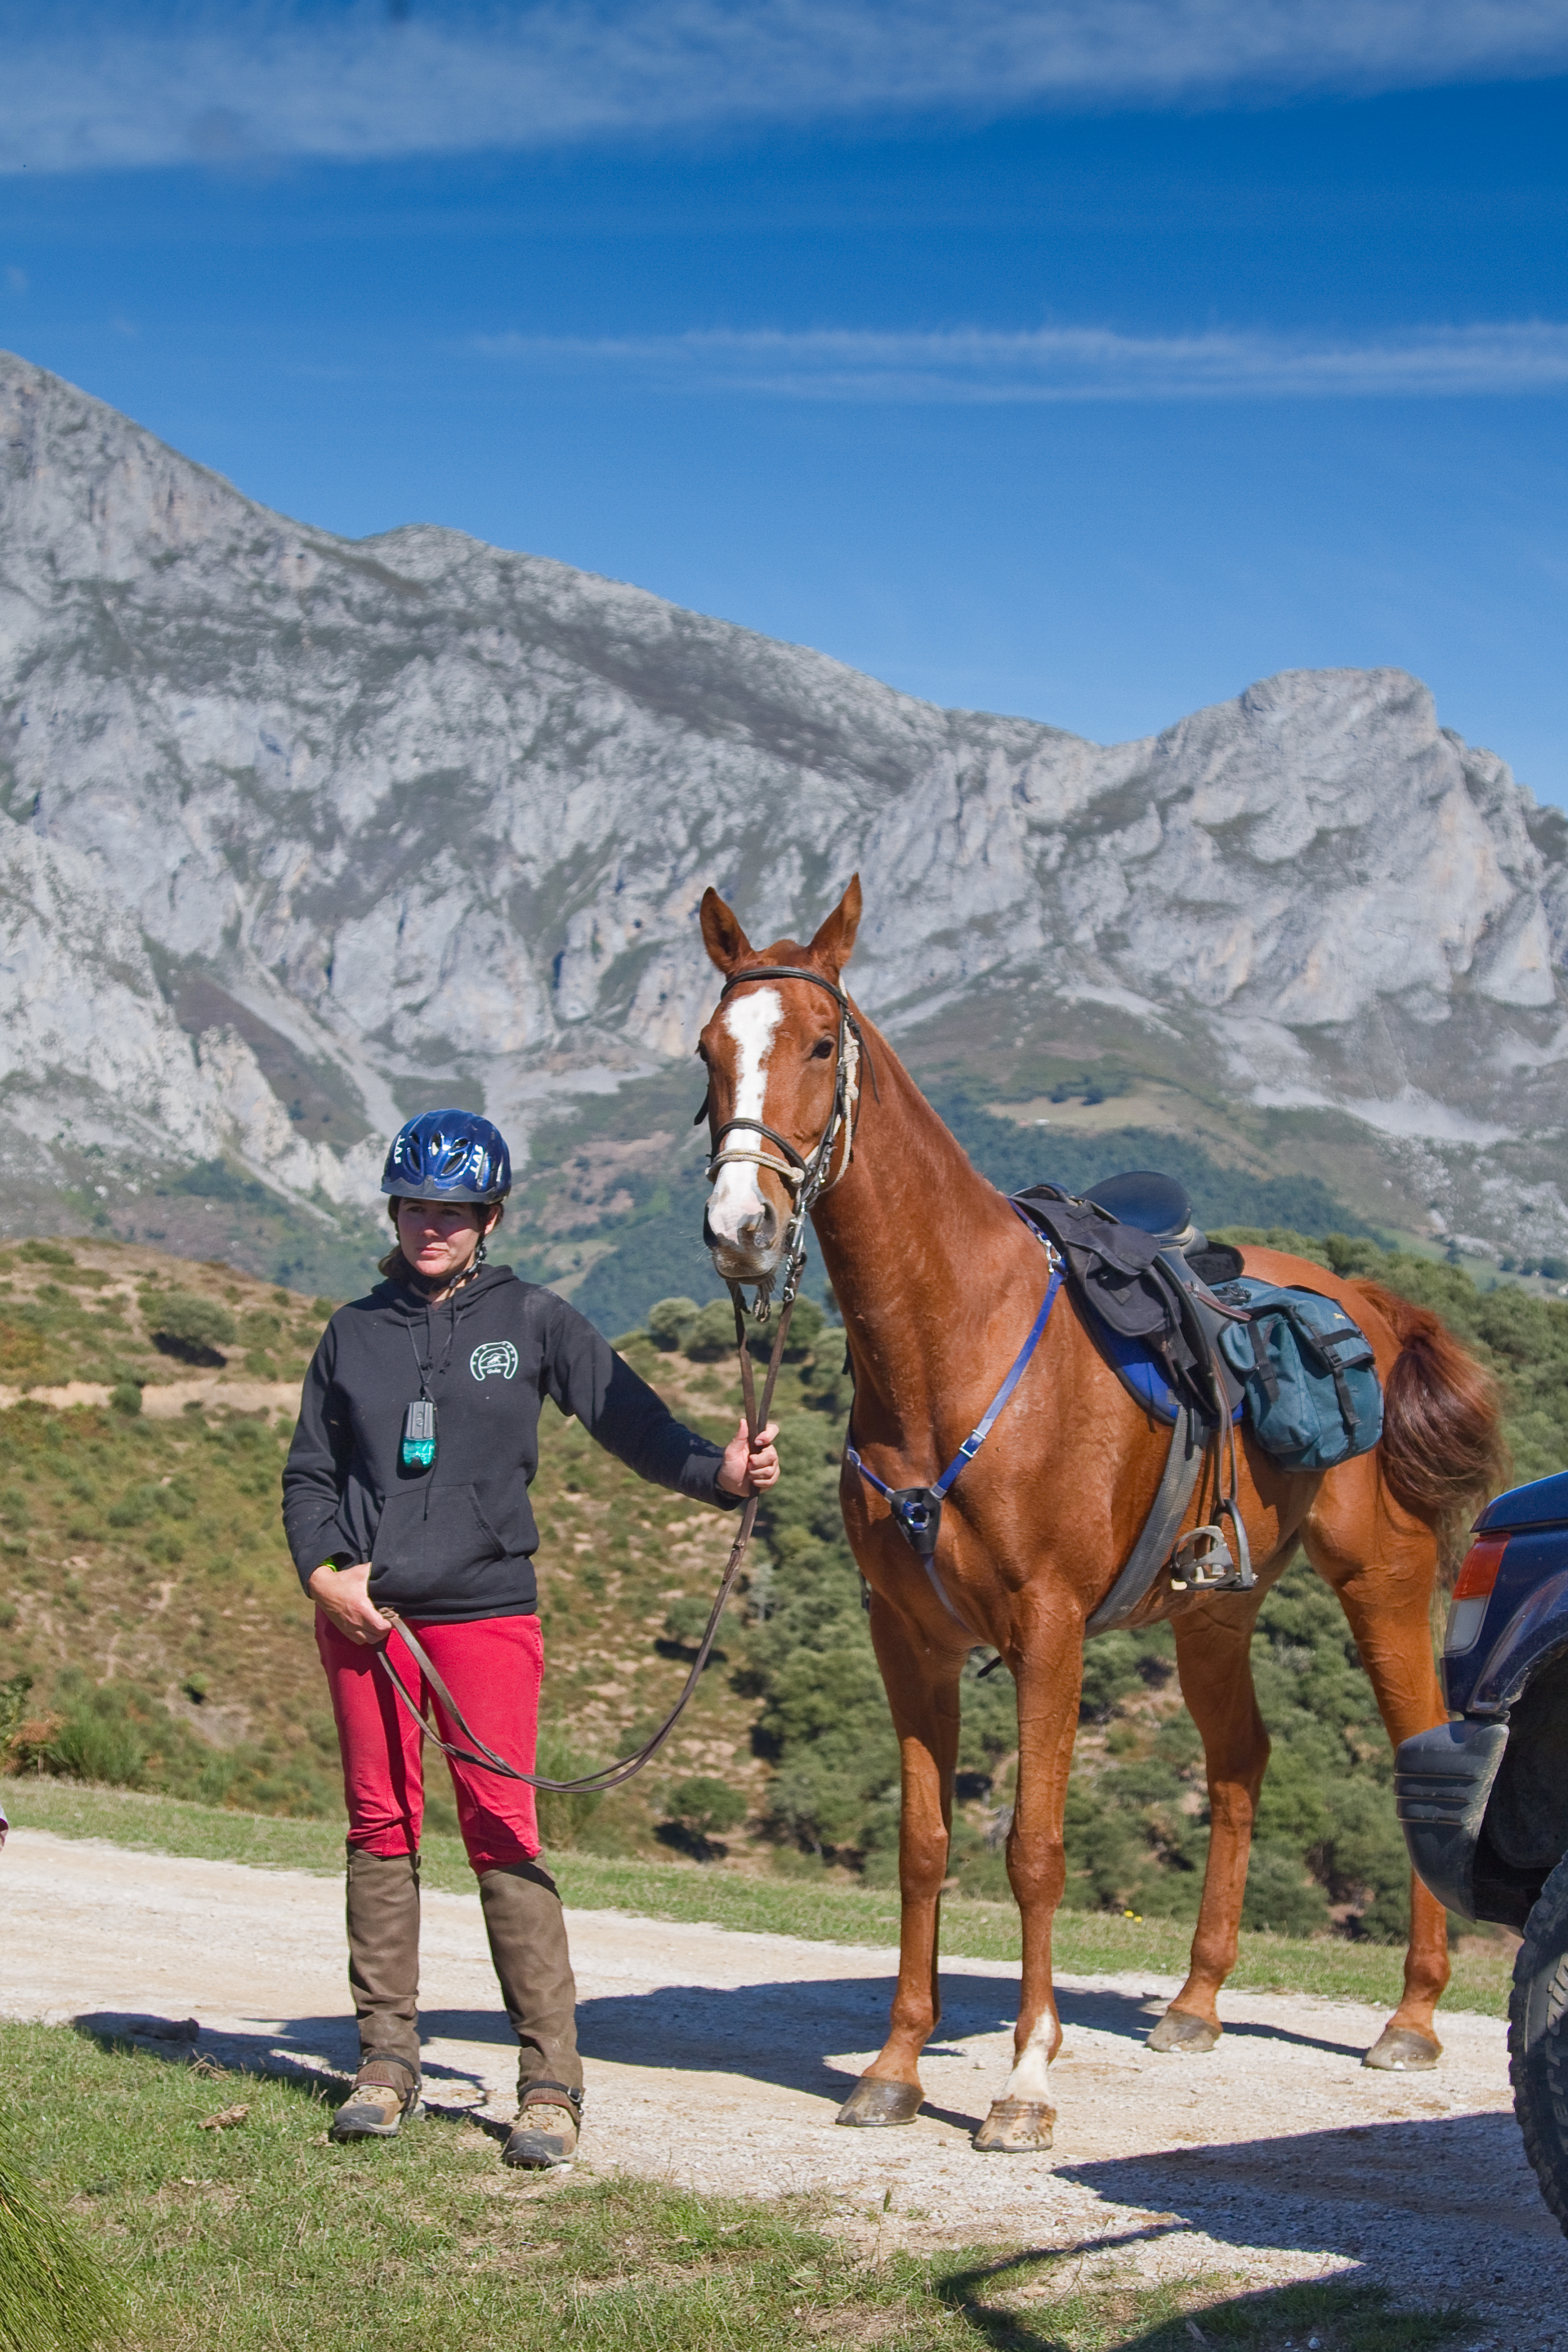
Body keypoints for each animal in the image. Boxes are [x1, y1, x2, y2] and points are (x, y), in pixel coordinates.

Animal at [695, 875, 1505, 2153]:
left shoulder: (1050, 1627)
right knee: (1240, 1762)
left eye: (822, 1043)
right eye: (708, 1050)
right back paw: (1196, 2001)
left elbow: (1033, 1848)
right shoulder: (905, 1634)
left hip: (1380, 1580)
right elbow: (923, 1847)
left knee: (1415, 1746)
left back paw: (1412, 2018)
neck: (953, 1342)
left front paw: (1026, 2079)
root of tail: (1369, 1301)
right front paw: (894, 2066)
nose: (741, 1228)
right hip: (1214, 1611)